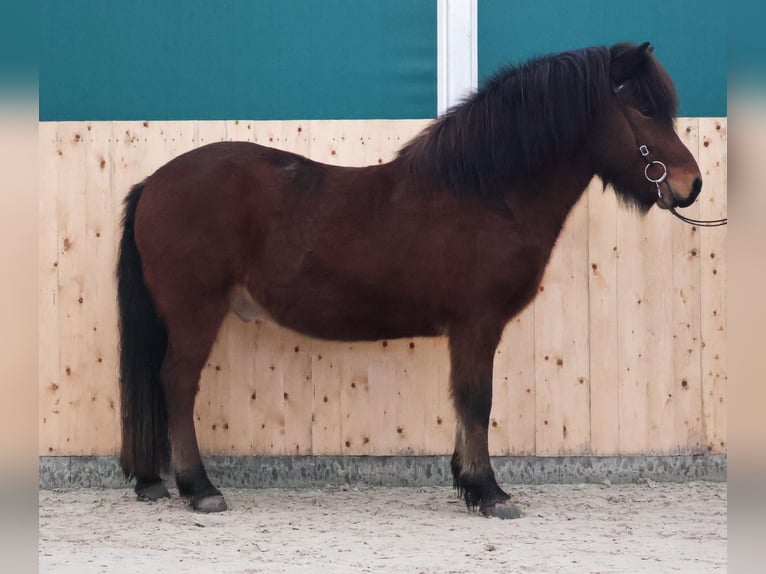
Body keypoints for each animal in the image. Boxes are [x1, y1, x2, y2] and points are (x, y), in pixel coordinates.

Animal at [115, 40, 704, 516]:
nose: (690, 184)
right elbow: (477, 400)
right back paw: (200, 489)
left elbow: (465, 400)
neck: (486, 193)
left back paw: (156, 482)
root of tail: (154, 183)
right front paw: (488, 492)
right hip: (195, 312)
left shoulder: (469, 329)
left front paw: (468, 483)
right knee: (177, 383)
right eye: (643, 107)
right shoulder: (477, 323)